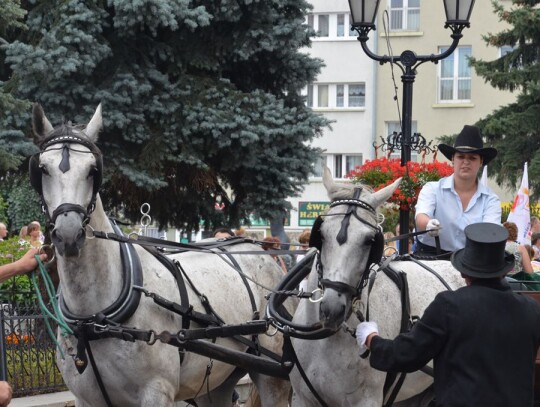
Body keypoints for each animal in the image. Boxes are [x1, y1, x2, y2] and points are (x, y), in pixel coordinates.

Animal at [29, 104, 292, 407]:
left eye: (93, 170)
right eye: (42, 169)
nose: (69, 234)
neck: (94, 318)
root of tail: (267, 257)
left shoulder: (156, 392)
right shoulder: (86, 399)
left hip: (274, 375)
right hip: (217, 380)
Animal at [292, 167, 464, 407]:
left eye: (369, 240)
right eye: (322, 234)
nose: (332, 309)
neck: (327, 340)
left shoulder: (368, 400)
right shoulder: (301, 398)